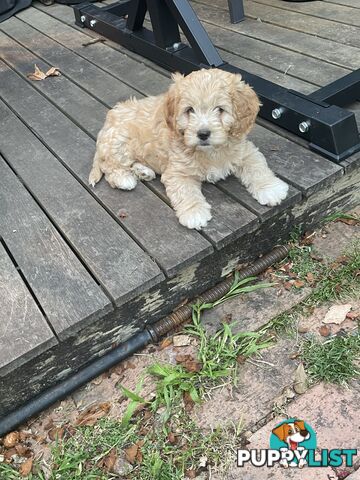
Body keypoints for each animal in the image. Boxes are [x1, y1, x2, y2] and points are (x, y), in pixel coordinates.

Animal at [90, 68, 290, 231]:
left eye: (220, 109)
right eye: (189, 110)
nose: (203, 134)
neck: (212, 151)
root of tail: (107, 123)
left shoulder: (245, 151)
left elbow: (257, 167)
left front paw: (270, 189)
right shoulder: (178, 172)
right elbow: (185, 191)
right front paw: (194, 213)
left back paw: (143, 171)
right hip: (119, 141)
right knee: (111, 167)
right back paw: (124, 179)